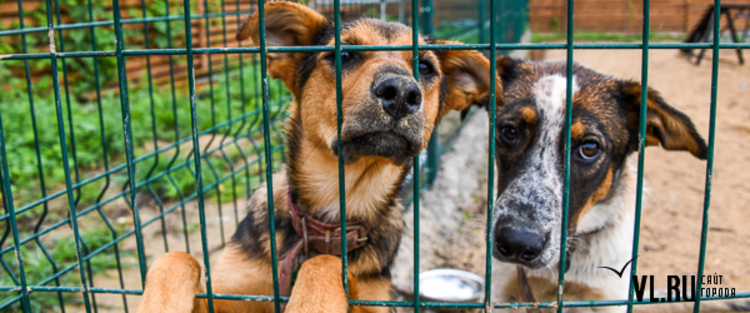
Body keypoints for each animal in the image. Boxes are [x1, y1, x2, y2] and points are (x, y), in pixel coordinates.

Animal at [137, 1, 500, 310]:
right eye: (345, 54)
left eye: (425, 67)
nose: (400, 93)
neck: (330, 215)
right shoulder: (227, 293)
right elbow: (176, 257)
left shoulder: (370, 296)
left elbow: (325, 262)